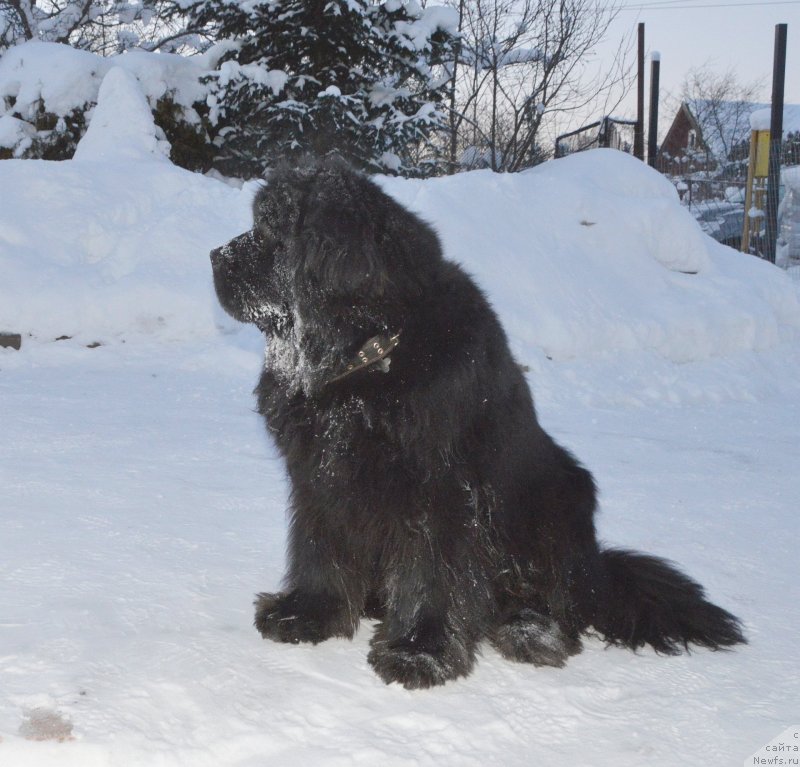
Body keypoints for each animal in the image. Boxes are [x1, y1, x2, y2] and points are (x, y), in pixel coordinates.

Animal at [211, 159, 744, 688]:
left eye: (270, 229)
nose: (215, 256)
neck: (367, 361)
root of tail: (601, 571)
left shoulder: (442, 489)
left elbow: (433, 573)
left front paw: (419, 651)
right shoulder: (321, 478)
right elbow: (318, 547)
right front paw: (306, 614)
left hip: (562, 495)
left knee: (558, 601)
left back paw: (531, 631)